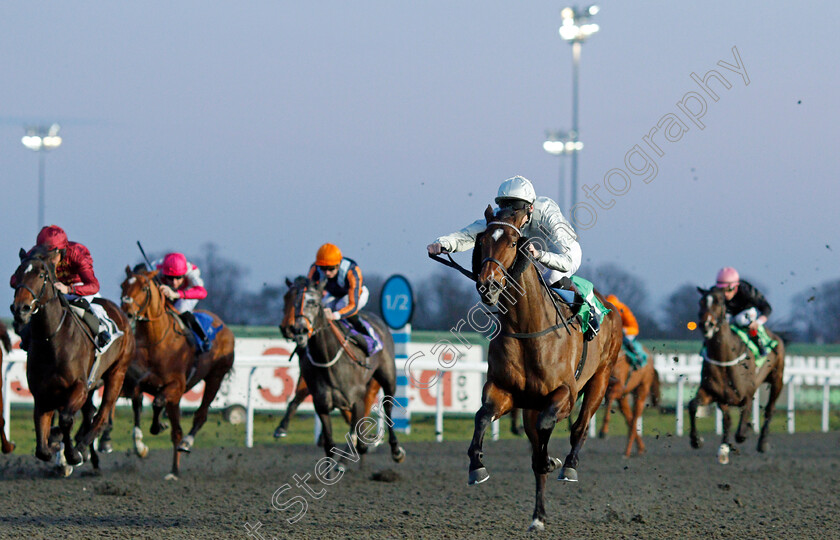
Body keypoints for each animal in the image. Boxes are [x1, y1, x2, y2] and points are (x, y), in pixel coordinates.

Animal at [10, 247, 135, 466]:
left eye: (41, 275)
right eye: (18, 273)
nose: (20, 308)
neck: (52, 340)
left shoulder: (79, 387)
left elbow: (66, 419)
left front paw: (72, 454)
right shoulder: (42, 393)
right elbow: (42, 446)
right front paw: (53, 444)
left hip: (117, 373)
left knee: (101, 416)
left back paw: (83, 448)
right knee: (89, 413)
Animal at [120, 264, 235, 476]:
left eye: (144, 288)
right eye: (123, 285)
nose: (127, 313)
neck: (156, 342)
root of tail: (223, 325)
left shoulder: (177, 384)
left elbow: (157, 403)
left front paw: (157, 426)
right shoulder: (144, 382)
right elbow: (138, 401)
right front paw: (140, 445)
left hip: (215, 377)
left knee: (198, 416)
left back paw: (184, 448)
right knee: (176, 430)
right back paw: (174, 468)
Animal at [280, 276, 406, 470]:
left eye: (314, 303)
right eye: (293, 302)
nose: (298, 330)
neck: (327, 359)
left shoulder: (357, 400)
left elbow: (353, 432)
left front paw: (343, 462)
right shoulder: (321, 404)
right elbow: (330, 444)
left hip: (387, 377)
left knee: (388, 407)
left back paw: (396, 450)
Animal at [466, 207, 624, 532]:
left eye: (514, 242)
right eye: (482, 239)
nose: (488, 285)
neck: (527, 328)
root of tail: (609, 305)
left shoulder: (564, 395)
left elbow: (549, 429)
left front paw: (552, 461)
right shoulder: (505, 392)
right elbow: (482, 416)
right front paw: (477, 466)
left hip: (600, 378)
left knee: (580, 427)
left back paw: (569, 466)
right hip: (531, 405)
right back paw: (537, 516)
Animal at [692, 286, 784, 464]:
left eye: (719, 301)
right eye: (701, 302)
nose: (706, 325)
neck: (725, 357)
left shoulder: (746, 395)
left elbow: (740, 433)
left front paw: (744, 432)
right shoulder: (715, 393)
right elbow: (694, 406)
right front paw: (698, 441)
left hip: (778, 379)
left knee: (770, 409)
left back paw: (762, 443)